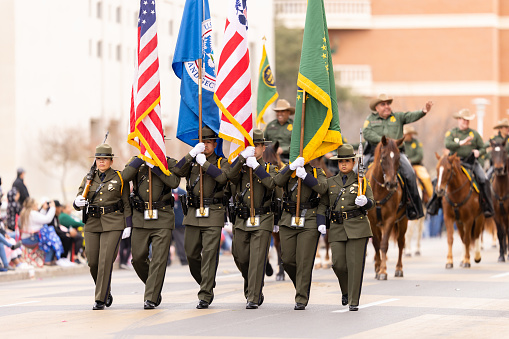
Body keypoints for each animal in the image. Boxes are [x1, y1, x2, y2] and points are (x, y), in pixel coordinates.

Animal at [366, 136, 408, 282]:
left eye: (398, 158)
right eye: (383, 157)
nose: (392, 184)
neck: (379, 190)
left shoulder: (389, 219)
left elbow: (384, 244)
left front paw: (383, 271)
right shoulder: (372, 221)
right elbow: (376, 244)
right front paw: (378, 269)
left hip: (403, 221)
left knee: (401, 243)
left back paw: (399, 269)